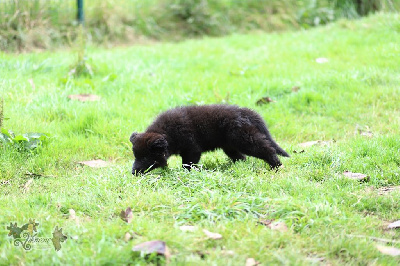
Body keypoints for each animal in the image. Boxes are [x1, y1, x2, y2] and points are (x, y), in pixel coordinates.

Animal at [130, 104, 290, 175]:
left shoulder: (192, 149)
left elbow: (187, 164)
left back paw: (276, 166)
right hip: (230, 146)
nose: (133, 172)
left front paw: (188, 174)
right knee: (241, 157)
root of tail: (245, 112)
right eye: (136, 156)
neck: (167, 133)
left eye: (146, 157)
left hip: (245, 139)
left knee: (266, 148)